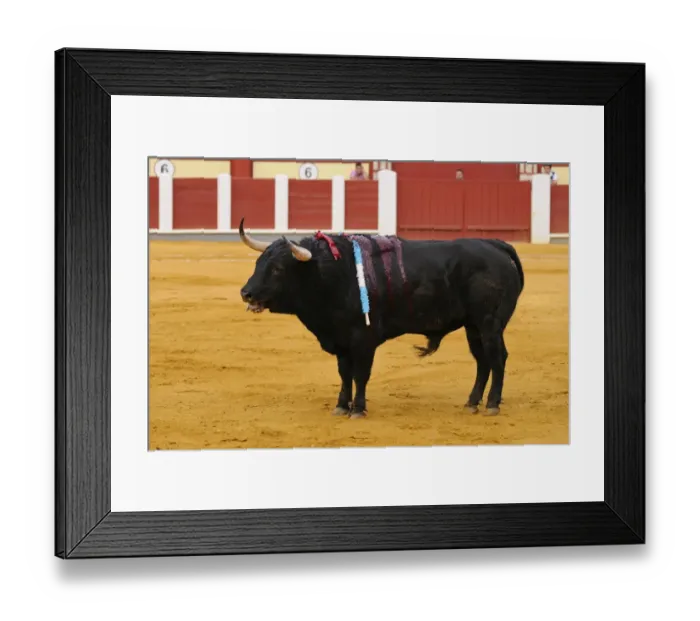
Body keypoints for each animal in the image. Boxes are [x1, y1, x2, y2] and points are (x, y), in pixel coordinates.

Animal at [238, 218, 524, 419]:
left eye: (278, 269)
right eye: (258, 263)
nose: (246, 293)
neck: (334, 275)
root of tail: (495, 245)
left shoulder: (363, 340)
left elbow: (361, 374)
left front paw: (358, 409)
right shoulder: (341, 340)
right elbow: (345, 373)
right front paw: (341, 406)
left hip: (490, 323)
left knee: (497, 357)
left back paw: (492, 404)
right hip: (472, 325)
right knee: (482, 360)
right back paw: (472, 403)